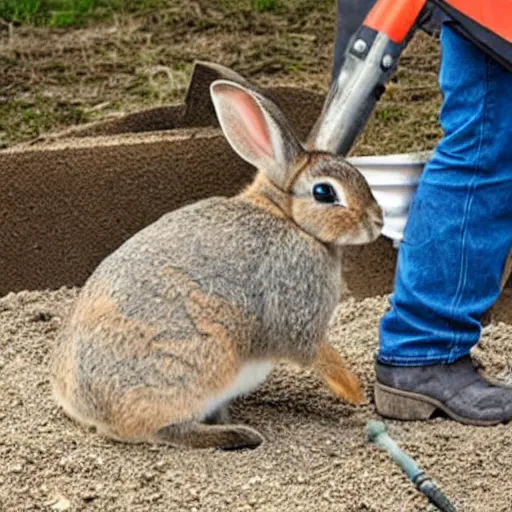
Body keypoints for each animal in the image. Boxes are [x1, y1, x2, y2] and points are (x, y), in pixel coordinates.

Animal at [50, 63, 384, 448]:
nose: (378, 221)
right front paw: (354, 393)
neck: (287, 217)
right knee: (166, 430)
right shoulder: (298, 312)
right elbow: (318, 353)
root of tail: (84, 406)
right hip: (202, 359)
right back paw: (236, 435)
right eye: (325, 193)